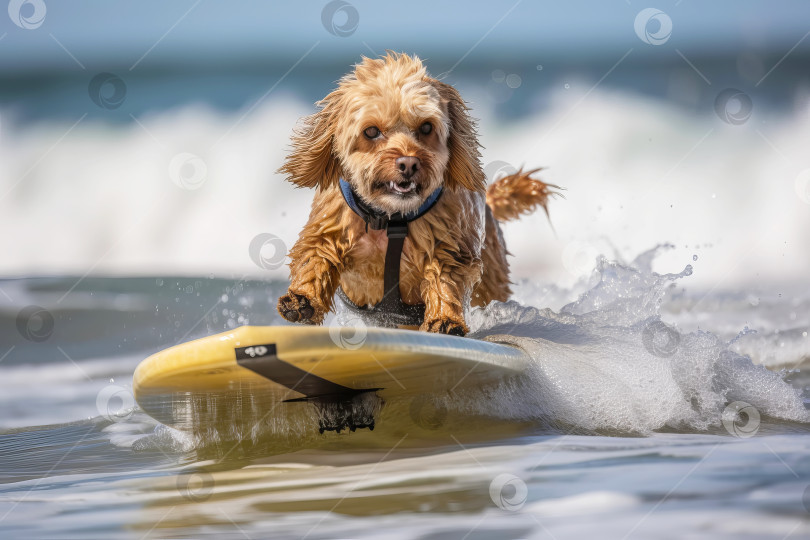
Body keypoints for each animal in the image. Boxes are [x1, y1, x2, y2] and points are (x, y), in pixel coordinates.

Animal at [278, 52, 556, 336]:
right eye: (371, 131)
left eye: (426, 127)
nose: (409, 163)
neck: (390, 218)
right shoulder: (330, 228)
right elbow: (316, 257)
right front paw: (303, 299)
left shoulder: (447, 244)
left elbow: (444, 280)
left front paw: (444, 318)